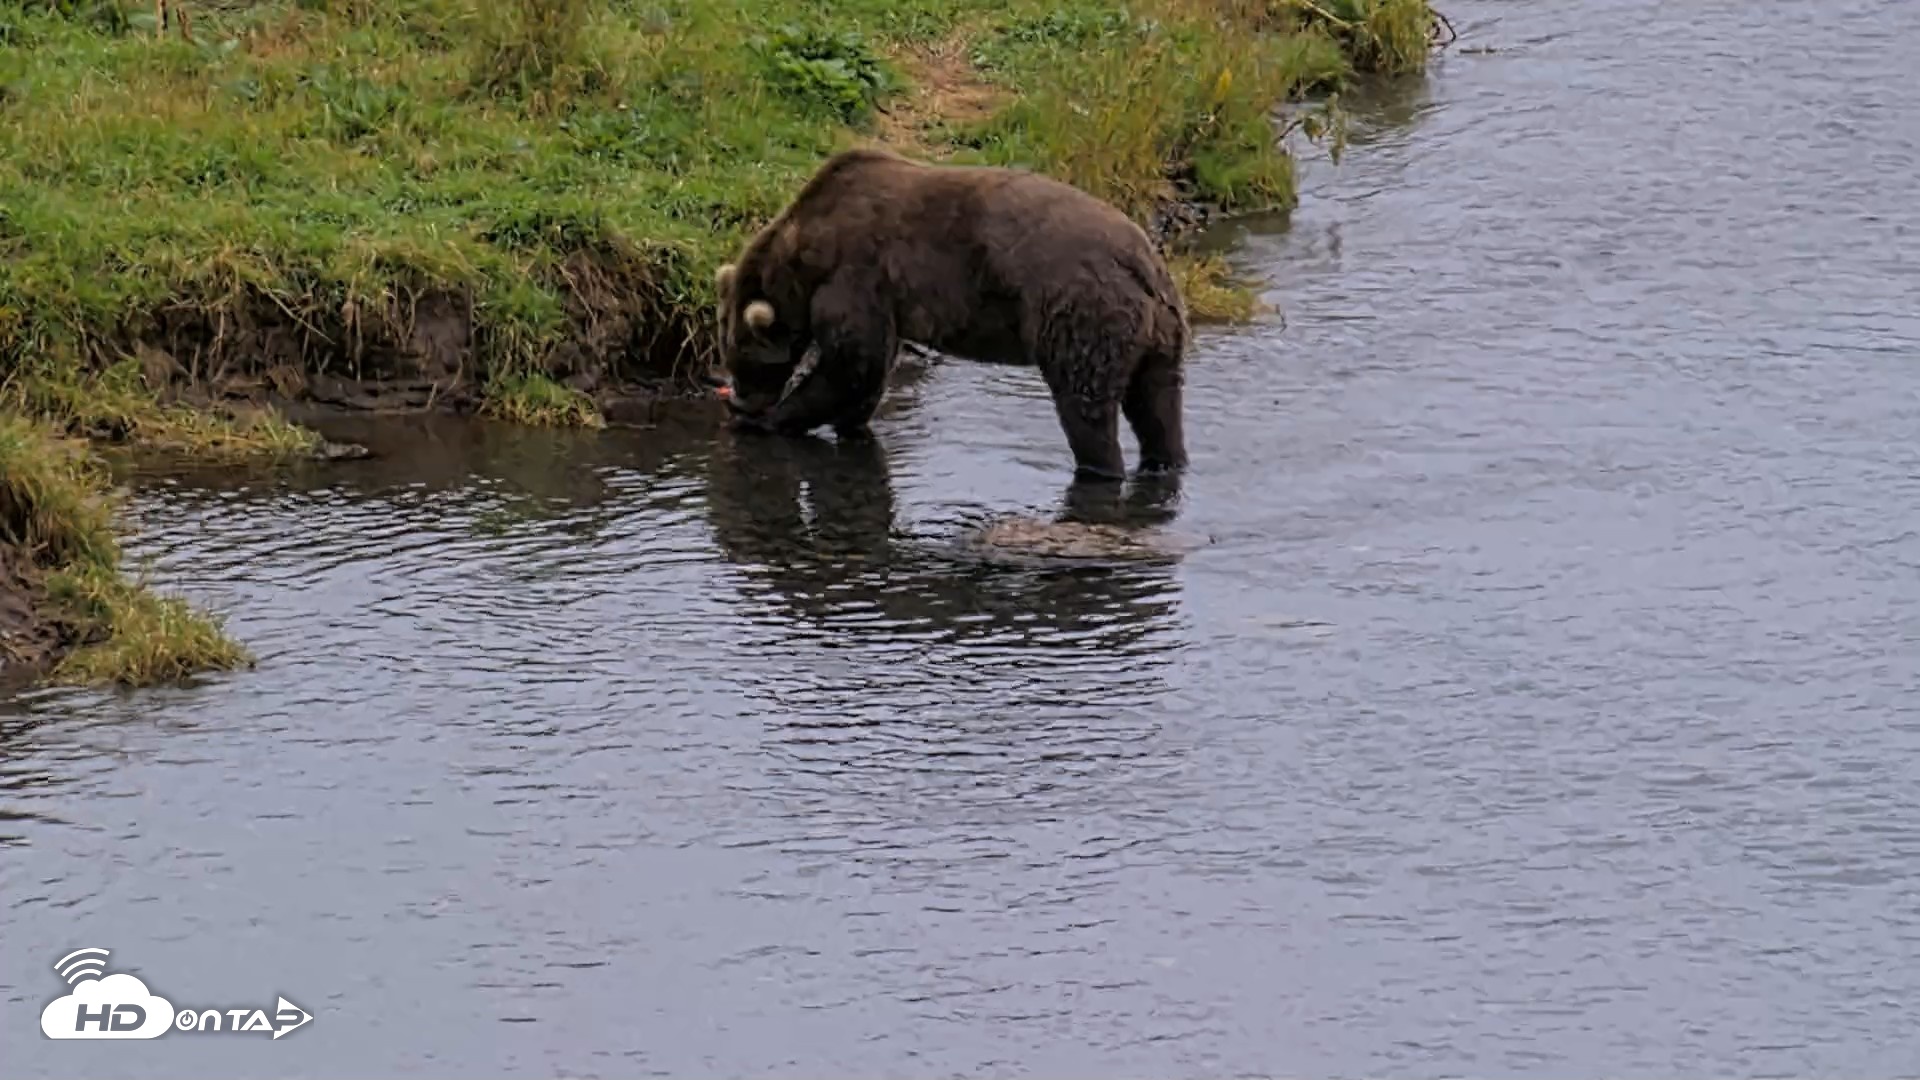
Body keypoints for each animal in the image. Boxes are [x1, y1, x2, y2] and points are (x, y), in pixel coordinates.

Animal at [710, 147, 1190, 482]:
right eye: (730, 355)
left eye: (744, 361)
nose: (738, 400)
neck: (803, 254)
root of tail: (1142, 263)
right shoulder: (883, 297)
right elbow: (870, 371)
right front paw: (849, 425)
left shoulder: (855, 275)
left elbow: (852, 364)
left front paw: (773, 419)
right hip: (1160, 333)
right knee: (1157, 403)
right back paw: (1164, 462)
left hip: (1082, 310)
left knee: (1086, 401)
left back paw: (1100, 468)